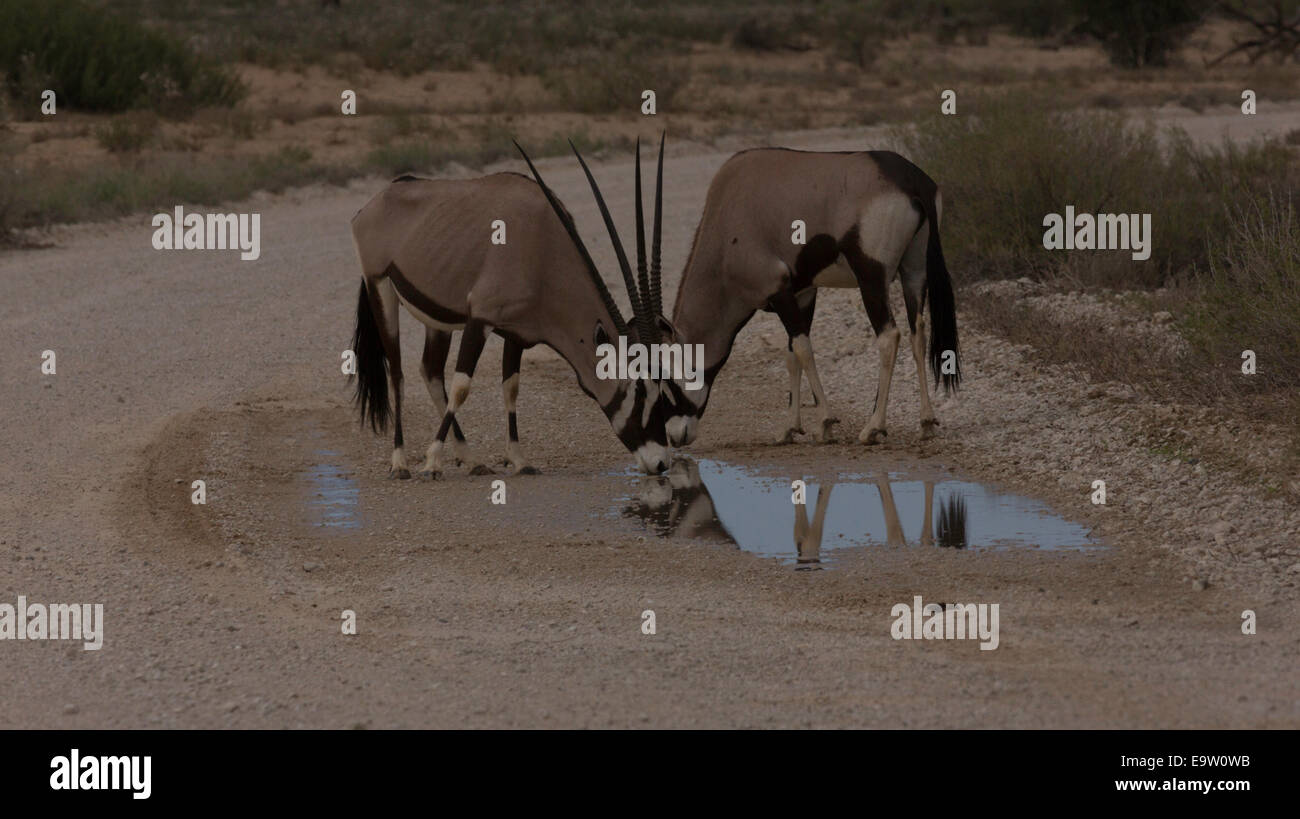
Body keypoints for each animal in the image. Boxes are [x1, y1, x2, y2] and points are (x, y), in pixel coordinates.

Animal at [345, 136, 676, 475]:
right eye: (639, 391)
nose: (660, 462)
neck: (542, 248)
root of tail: (371, 205)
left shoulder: (517, 332)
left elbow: (511, 387)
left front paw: (519, 459)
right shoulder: (480, 318)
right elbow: (462, 386)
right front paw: (432, 460)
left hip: (437, 318)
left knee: (431, 371)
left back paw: (471, 458)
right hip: (380, 288)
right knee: (398, 372)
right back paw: (400, 461)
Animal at [660, 150, 956, 452]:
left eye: (667, 379)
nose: (675, 437)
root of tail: (912, 180)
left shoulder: (778, 290)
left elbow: (803, 349)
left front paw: (825, 423)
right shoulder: (802, 294)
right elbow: (791, 355)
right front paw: (789, 428)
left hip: (871, 277)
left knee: (889, 336)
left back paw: (873, 427)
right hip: (914, 272)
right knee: (917, 333)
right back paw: (926, 422)